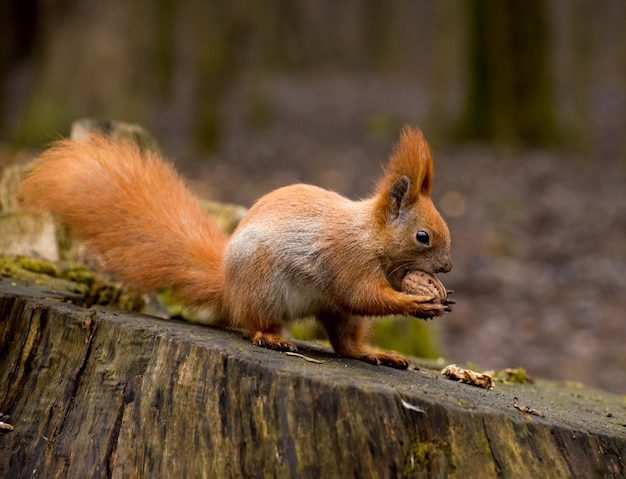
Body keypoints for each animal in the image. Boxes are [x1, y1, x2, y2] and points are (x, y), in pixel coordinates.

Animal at [19, 125, 448, 370]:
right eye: (422, 236)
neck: (370, 236)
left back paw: (375, 354)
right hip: (264, 289)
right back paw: (271, 337)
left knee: (345, 344)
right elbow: (361, 294)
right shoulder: (346, 259)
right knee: (254, 323)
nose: (446, 267)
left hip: (333, 313)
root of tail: (227, 286)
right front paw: (415, 301)